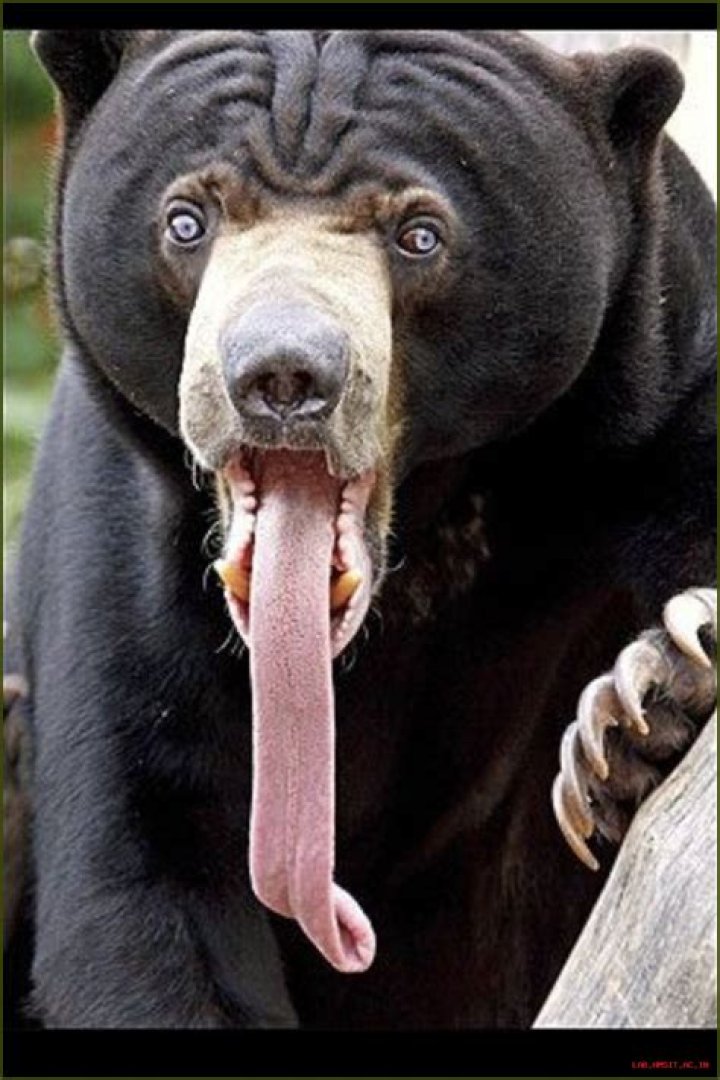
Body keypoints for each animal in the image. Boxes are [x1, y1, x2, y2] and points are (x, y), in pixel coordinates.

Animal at [4, 28, 716, 1030]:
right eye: (186, 219)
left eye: (419, 235)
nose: (281, 376)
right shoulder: (118, 531)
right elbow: (144, 869)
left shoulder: (660, 400)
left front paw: (644, 702)